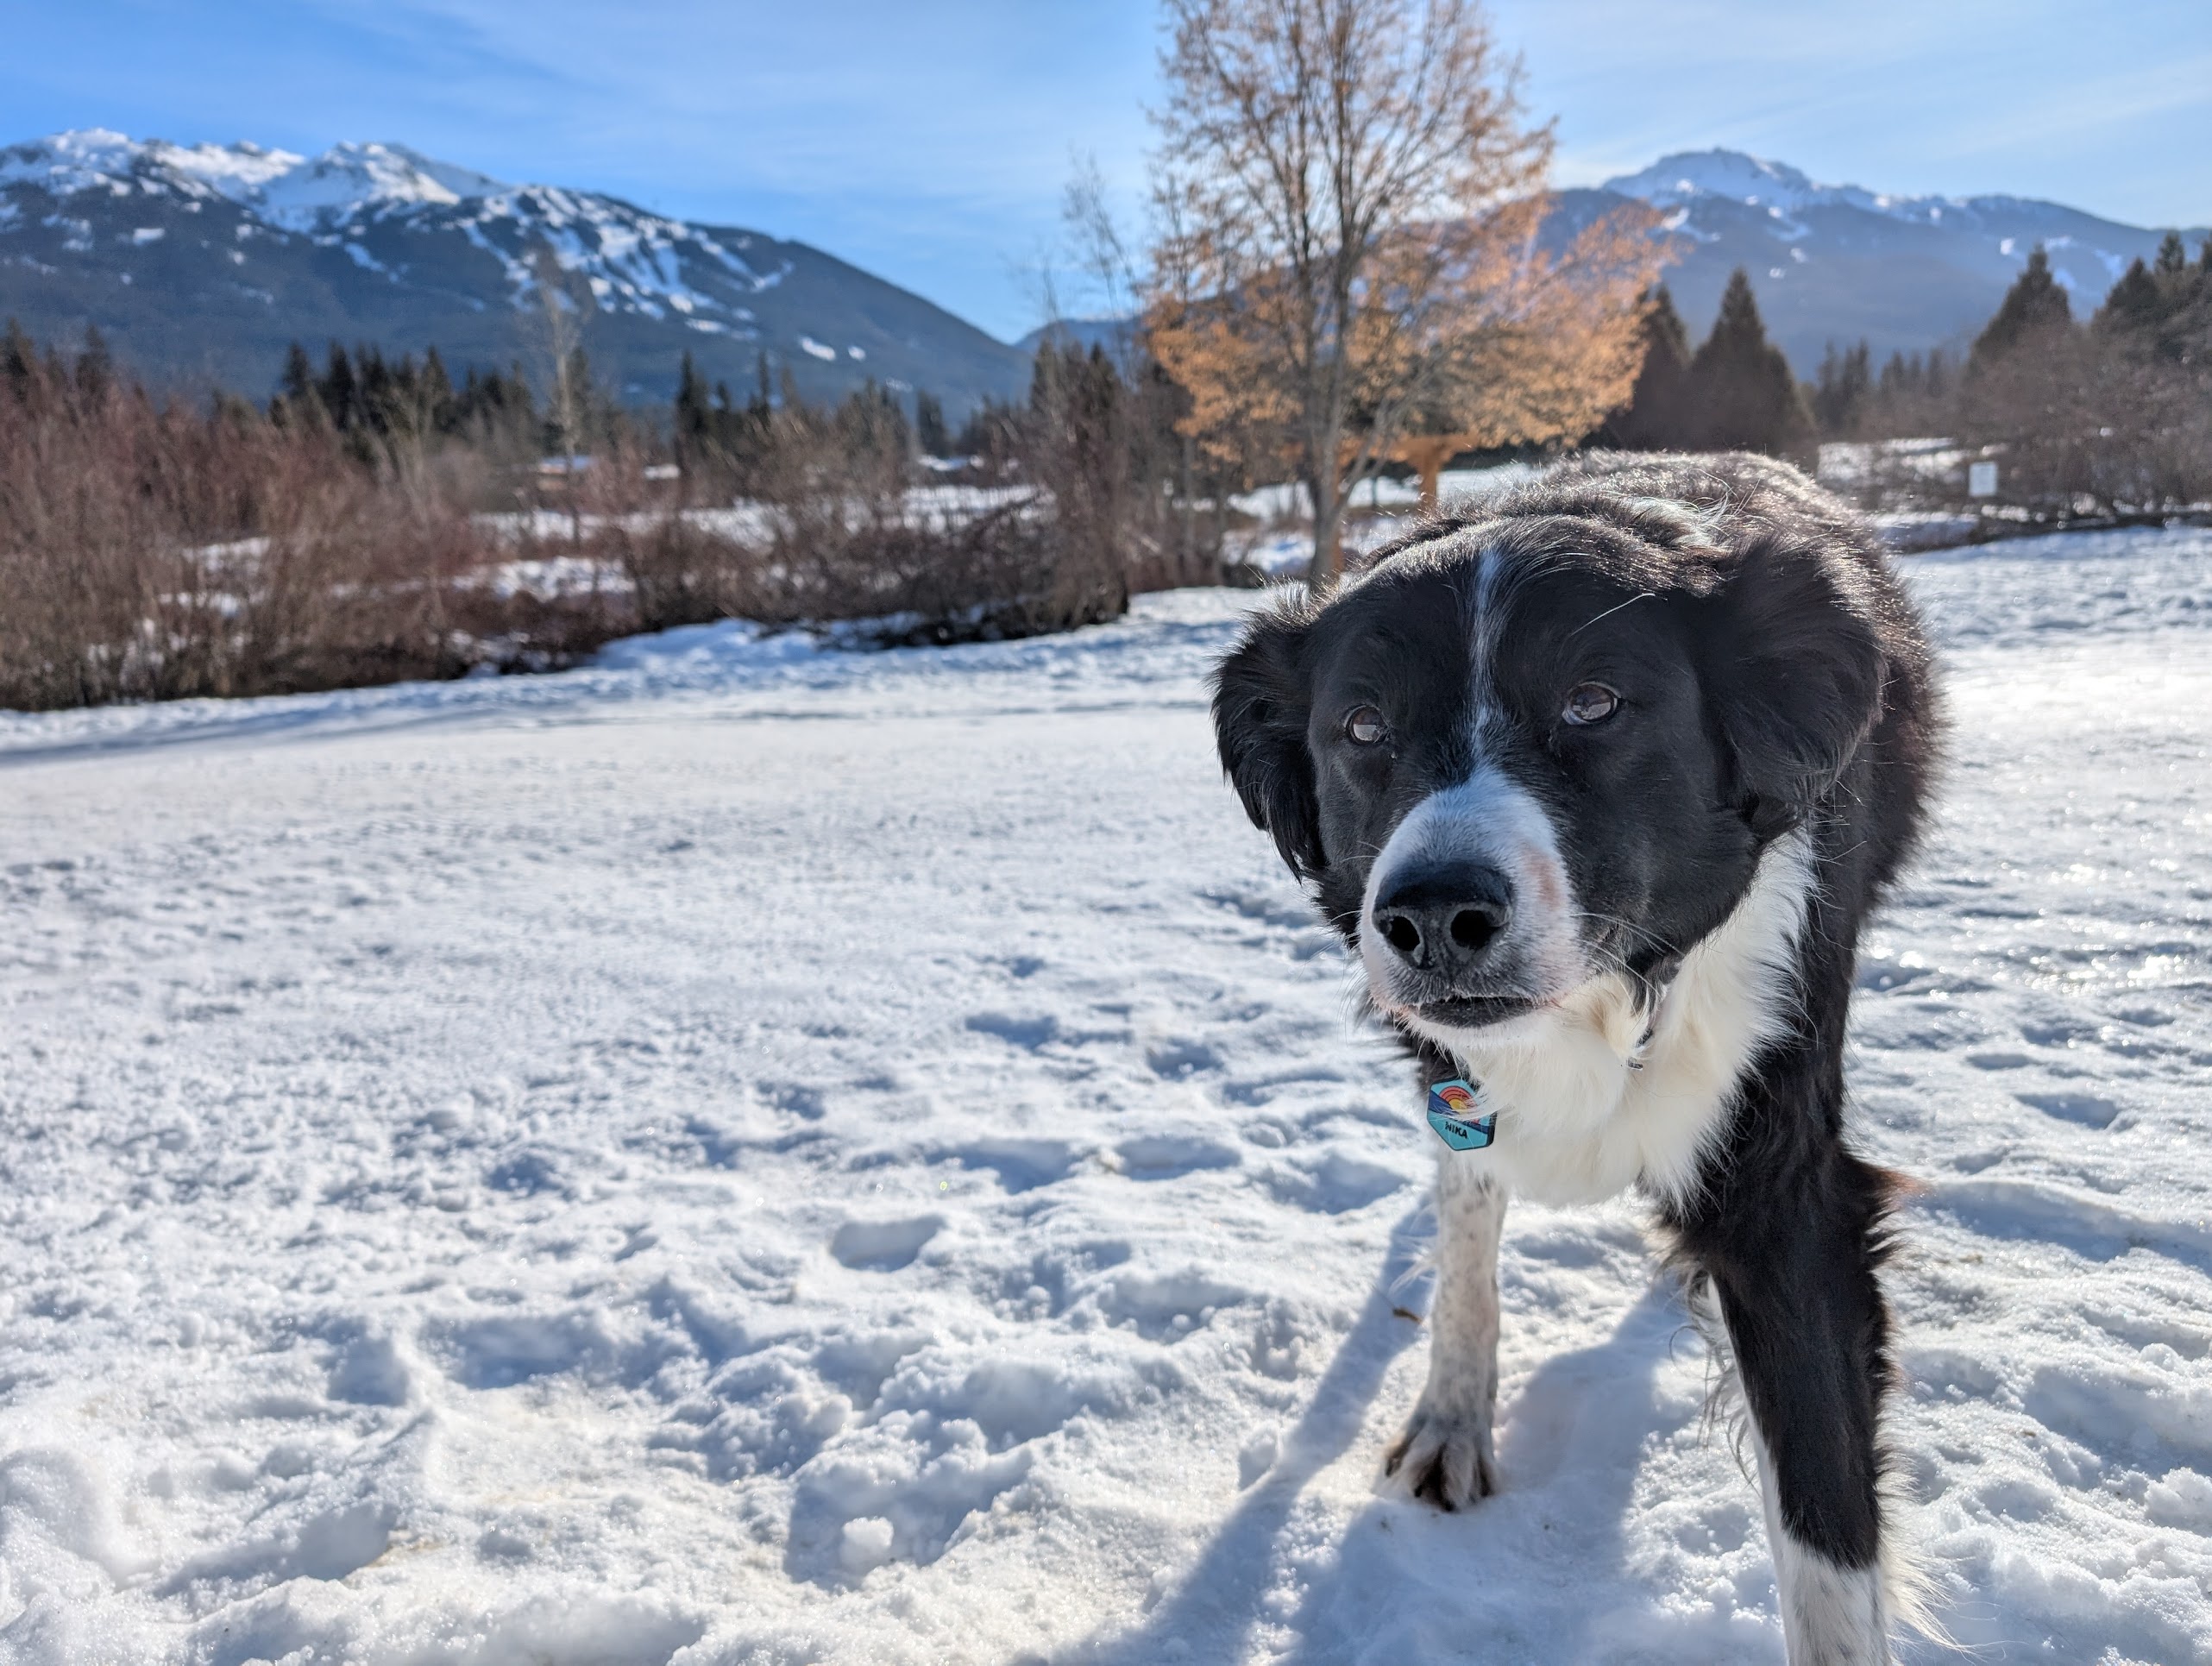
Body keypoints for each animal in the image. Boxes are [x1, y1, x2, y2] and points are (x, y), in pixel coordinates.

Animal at [1212, 456, 1938, 1663]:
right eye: (1360, 726)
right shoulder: (1455, 1079)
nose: (1430, 915)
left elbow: (1825, 1539)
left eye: (1591, 703)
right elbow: (1465, 1228)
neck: (1603, 1002)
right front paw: (1452, 1414)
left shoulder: (1785, 1171)